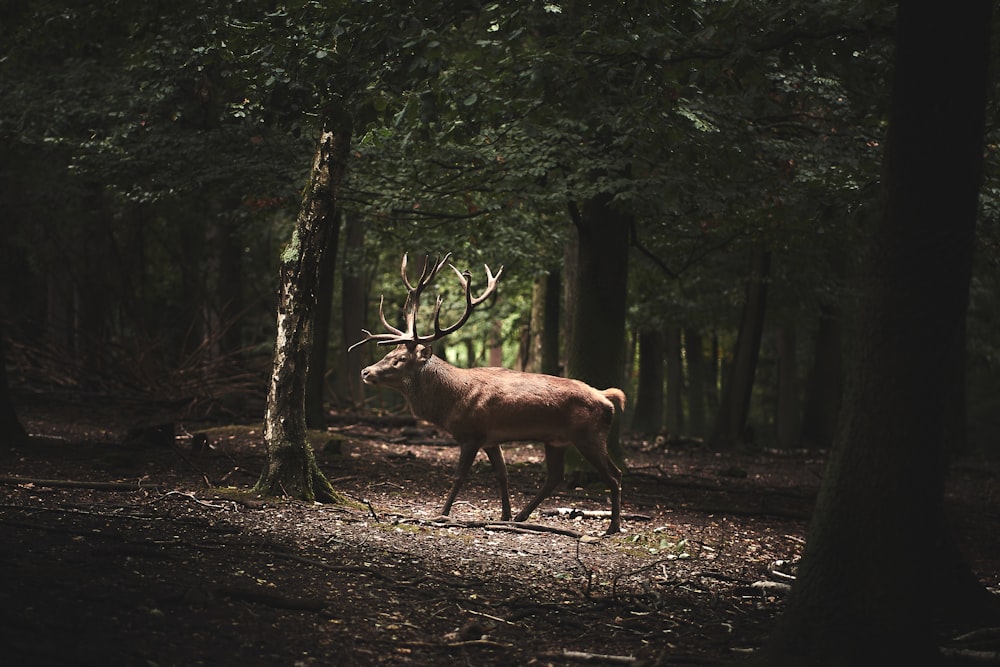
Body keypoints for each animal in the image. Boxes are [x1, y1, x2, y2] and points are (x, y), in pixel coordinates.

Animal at [348, 253, 620, 536]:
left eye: (399, 359)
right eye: (389, 353)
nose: (365, 371)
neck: (450, 404)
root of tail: (608, 400)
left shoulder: (472, 434)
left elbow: (459, 476)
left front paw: (442, 514)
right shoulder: (491, 439)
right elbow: (502, 474)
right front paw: (505, 515)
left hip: (588, 435)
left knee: (614, 476)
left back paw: (613, 527)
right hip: (557, 440)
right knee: (557, 476)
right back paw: (522, 516)